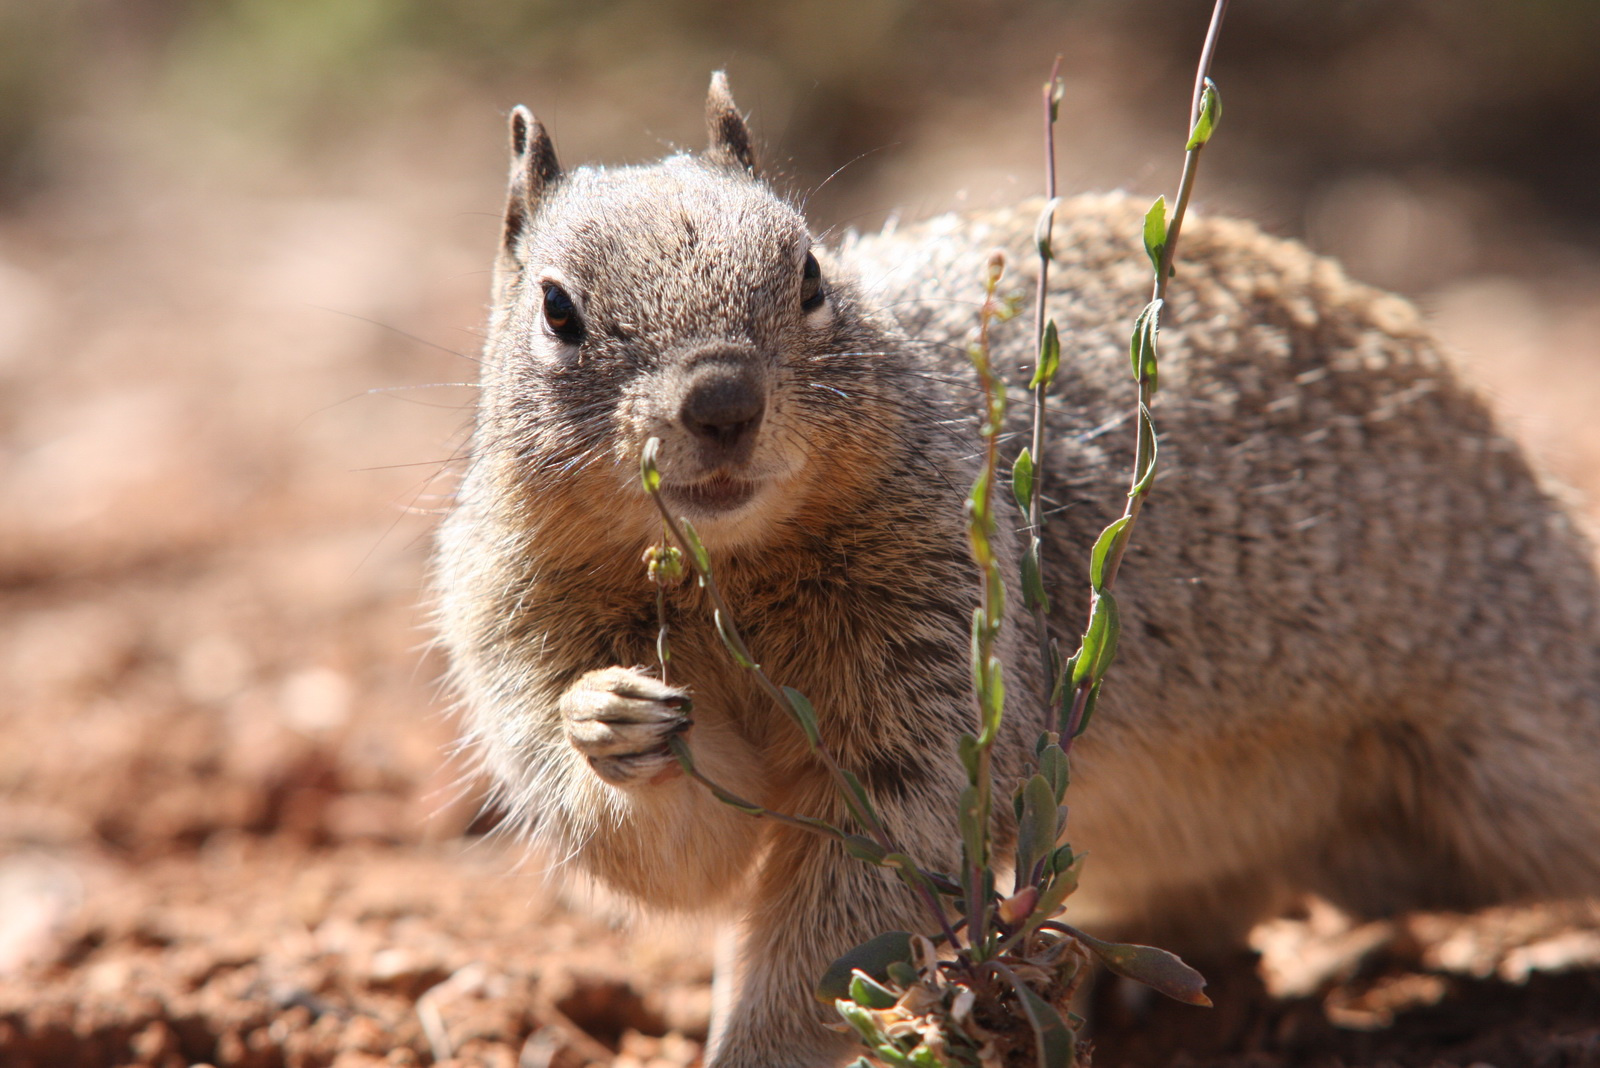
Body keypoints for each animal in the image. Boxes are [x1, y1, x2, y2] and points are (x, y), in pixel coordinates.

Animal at [432, 75, 1600, 1068]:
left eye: (810, 276)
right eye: (557, 309)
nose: (723, 401)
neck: (727, 573)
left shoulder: (937, 666)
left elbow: (849, 910)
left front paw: (754, 1047)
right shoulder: (518, 630)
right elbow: (674, 850)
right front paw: (606, 718)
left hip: (1523, 748)